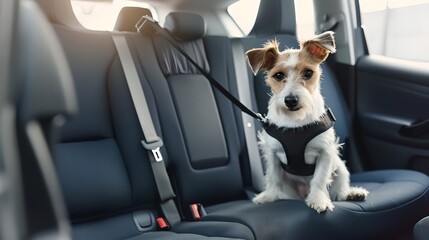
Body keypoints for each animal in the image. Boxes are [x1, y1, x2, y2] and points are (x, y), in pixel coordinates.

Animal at [244, 31, 368, 213]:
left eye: (308, 73)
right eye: (278, 76)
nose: (291, 100)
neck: (295, 122)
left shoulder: (325, 153)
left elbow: (319, 179)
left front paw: (318, 199)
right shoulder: (272, 153)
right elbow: (273, 177)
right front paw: (269, 196)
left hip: (339, 167)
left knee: (339, 188)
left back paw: (351, 193)